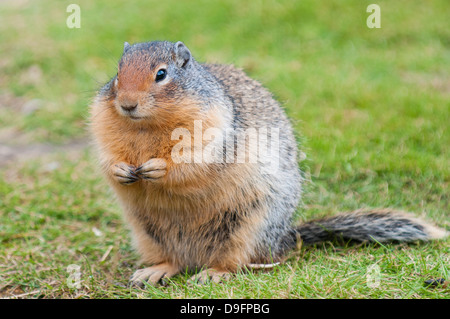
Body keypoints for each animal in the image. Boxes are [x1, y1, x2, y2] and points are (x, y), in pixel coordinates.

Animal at [89, 40, 448, 288]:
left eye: (161, 74)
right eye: (117, 74)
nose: (126, 103)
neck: (146, 126)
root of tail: (285, 238)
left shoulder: (212, 131)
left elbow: (191, 160)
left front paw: (157, 168)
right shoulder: (103, 126)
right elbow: (107, 157)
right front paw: (121, 170)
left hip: (248, 227)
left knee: (235, 262)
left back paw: (212, 274)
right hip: (147, 233)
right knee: (174, 261)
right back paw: (153, 272)